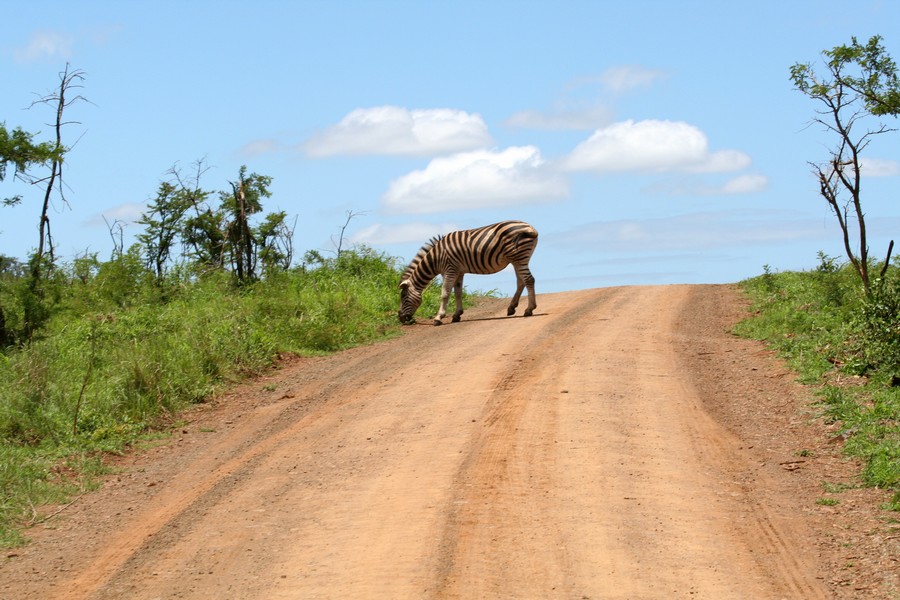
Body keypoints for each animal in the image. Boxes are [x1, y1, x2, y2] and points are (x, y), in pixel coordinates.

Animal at [398, 220, 538, 325]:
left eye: (403, 296)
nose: (400, 318)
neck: (436, 257)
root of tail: (530, 227)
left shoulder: (449, 270)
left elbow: (445, 293)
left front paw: (438, 317)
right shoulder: (458, 272)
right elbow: (458, 293)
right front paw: (457, 315)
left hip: (519, 258)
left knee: (529, 280)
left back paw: (529, 309)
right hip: (517, 259)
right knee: (521, 282)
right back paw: (511, 308)